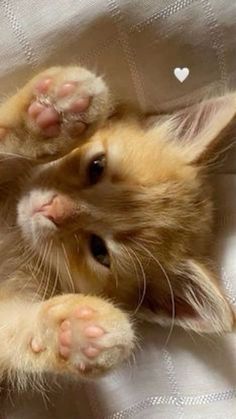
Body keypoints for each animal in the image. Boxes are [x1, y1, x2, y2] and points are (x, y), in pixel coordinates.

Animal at [0, 66, 235, 394]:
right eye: (96, 166)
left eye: (99, 251)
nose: (51, 210)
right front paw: (50, 112)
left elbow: (12, 334)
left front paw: (72, 331)